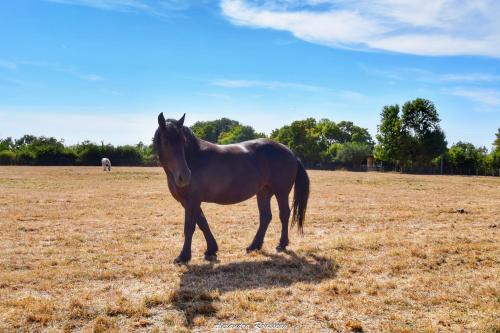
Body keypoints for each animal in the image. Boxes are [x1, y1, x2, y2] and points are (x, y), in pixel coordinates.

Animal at [153, 113, 308, 264]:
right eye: (166, 141)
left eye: (183, 141)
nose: (185, 176)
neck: (194, 157)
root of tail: (291, 153)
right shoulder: (187, 202)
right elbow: (202, 222)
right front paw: (211, 250)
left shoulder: (192, 200)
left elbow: (190, 227)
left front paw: (183, 256)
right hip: (263, 193)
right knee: (266, 217)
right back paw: (254, 246)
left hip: (281, 192)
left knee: (284, 214)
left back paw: (282, 244)